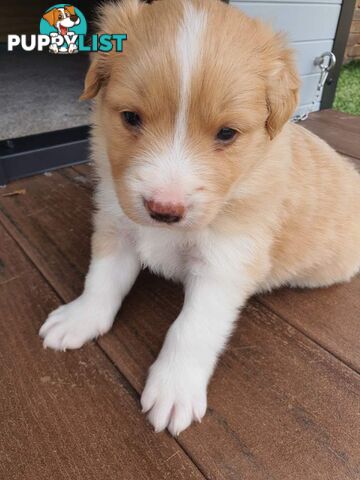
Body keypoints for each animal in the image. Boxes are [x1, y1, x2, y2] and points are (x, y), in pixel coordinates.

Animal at [39, 0, 360, 436]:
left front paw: (174, 387)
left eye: (227, 133)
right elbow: (101, 281)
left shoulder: (225, 263)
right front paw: (80, 318)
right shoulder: (117, 226)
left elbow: (191, 329)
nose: (163, 210)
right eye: (131, 118)